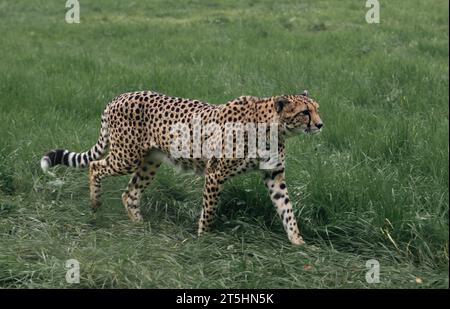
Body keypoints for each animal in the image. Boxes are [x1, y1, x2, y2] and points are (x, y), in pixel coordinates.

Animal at [40, 89, 322, 245]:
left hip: (150, 161)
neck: (273, 128)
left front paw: (298, 242)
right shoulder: (215, 174)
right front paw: (203, 240)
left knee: (129, 192)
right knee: (95, 166)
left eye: (317, 109)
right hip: (126, 156)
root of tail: (119, 96)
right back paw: (96, 203)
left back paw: (139, 225)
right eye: (305, 112)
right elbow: (209, 211)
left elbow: (286, 209)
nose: (320, 125)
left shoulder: (274, 175)